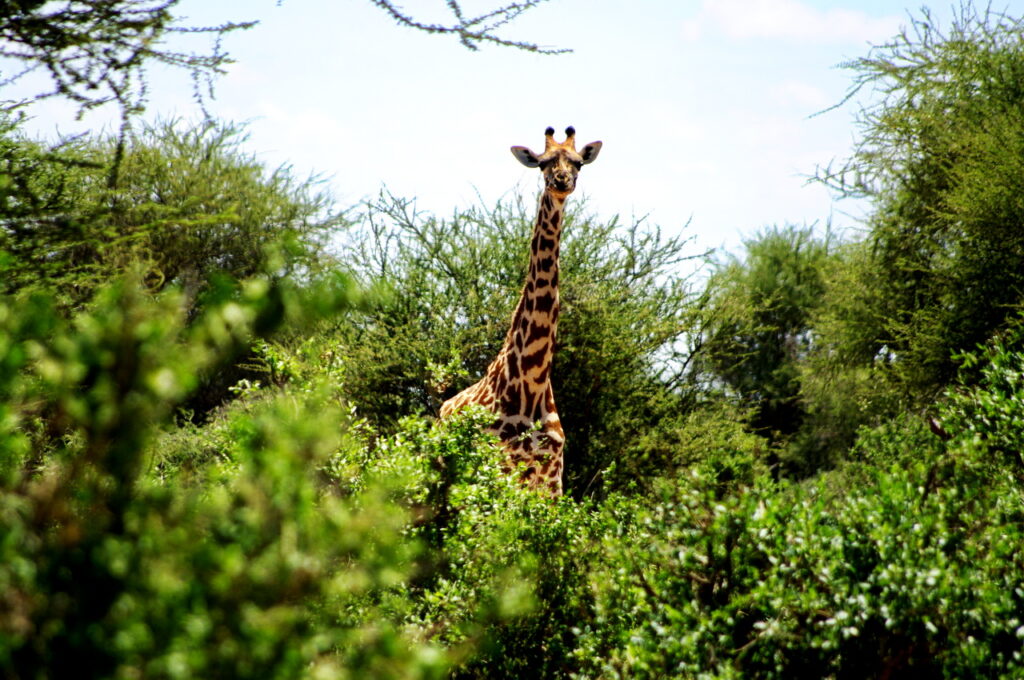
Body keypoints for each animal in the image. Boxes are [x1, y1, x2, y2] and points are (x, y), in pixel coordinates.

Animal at [440, 126, 602, 496]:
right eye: (542, 162)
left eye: (577, 162)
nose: (561, 181)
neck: (532, 381)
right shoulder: (498, 467)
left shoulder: (552, 476)